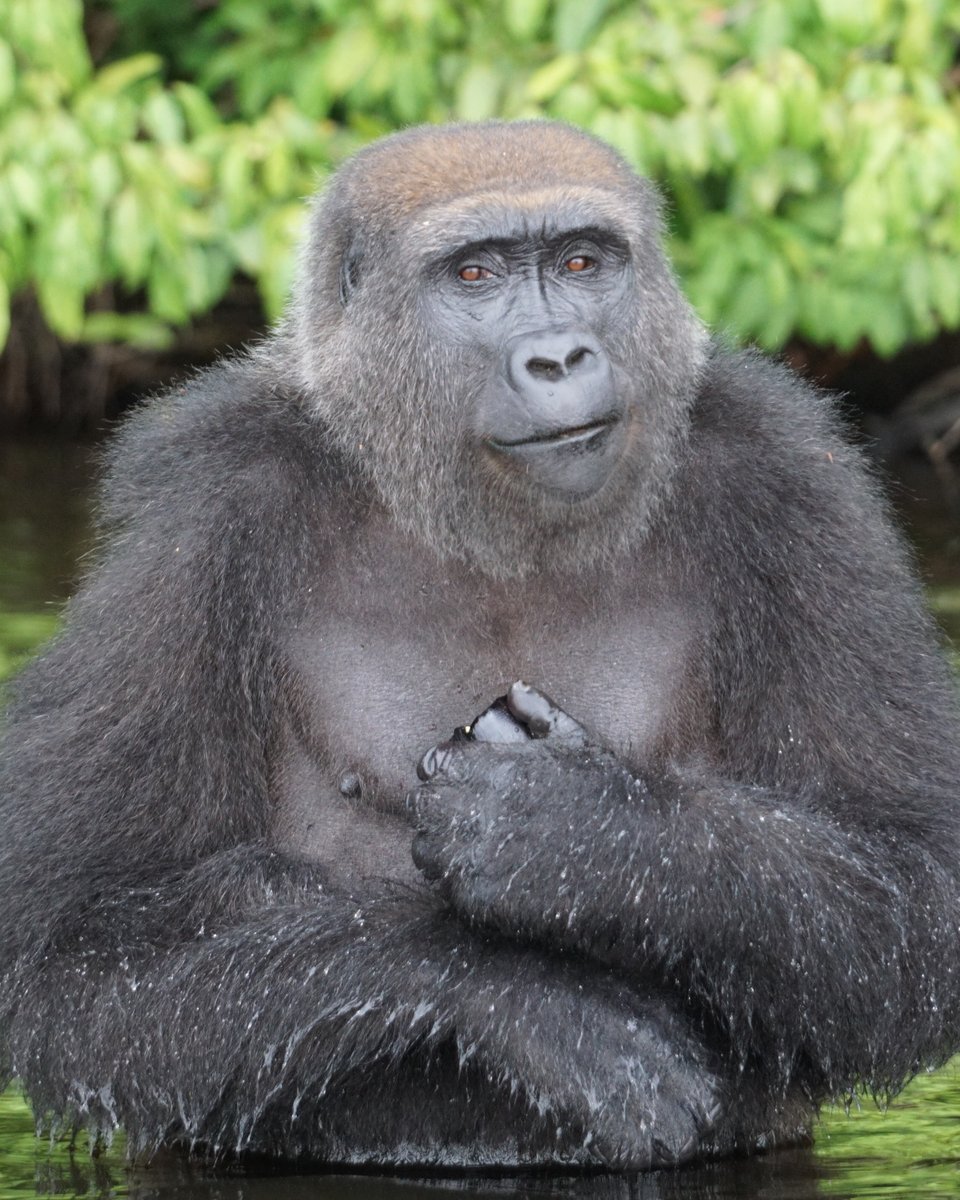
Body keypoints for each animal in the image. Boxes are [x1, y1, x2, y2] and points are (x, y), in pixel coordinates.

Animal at [1, 120, 958, 1171]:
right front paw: (526, 998)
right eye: (475, 274)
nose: (559, 357)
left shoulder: (793, 479)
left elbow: (921, 882)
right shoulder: (195, 519)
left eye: (582, 262)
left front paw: (582, 837)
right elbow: (73, 963)